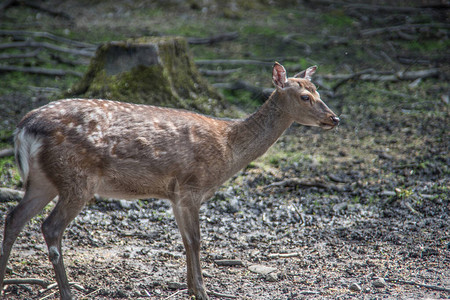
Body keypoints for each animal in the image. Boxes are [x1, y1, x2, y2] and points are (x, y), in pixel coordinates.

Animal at [0, 62, 338, 298]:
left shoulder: (175, 194)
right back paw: (67, 293)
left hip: (43, 181)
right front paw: (202, 291)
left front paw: (191, 288)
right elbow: (197, 240)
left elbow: (186, 241)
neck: (229, 150)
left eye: (319, 91)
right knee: (50, 227)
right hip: (76, 179)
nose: (334, 118)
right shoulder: (192, 186)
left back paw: (4, 279)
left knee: (13, 217)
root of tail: (22, 128)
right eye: (305, 96)